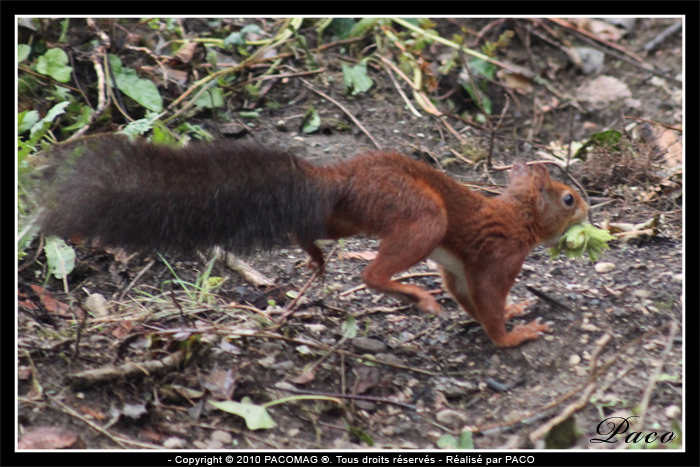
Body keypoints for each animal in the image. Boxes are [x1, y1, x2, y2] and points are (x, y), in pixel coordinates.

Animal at [37, 135, 584, 348]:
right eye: (569, 198)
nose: (589, 209)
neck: (518, 213)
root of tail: (338, 178)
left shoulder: (459, 267)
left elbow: (469, 296)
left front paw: (514, 313)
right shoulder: (499, 255)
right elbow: (487, 299)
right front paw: (514, 333)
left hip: (351, 218)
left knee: (312, 228)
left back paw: (315, 256)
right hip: (420, 217)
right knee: (371, 272)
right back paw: (409, 292)